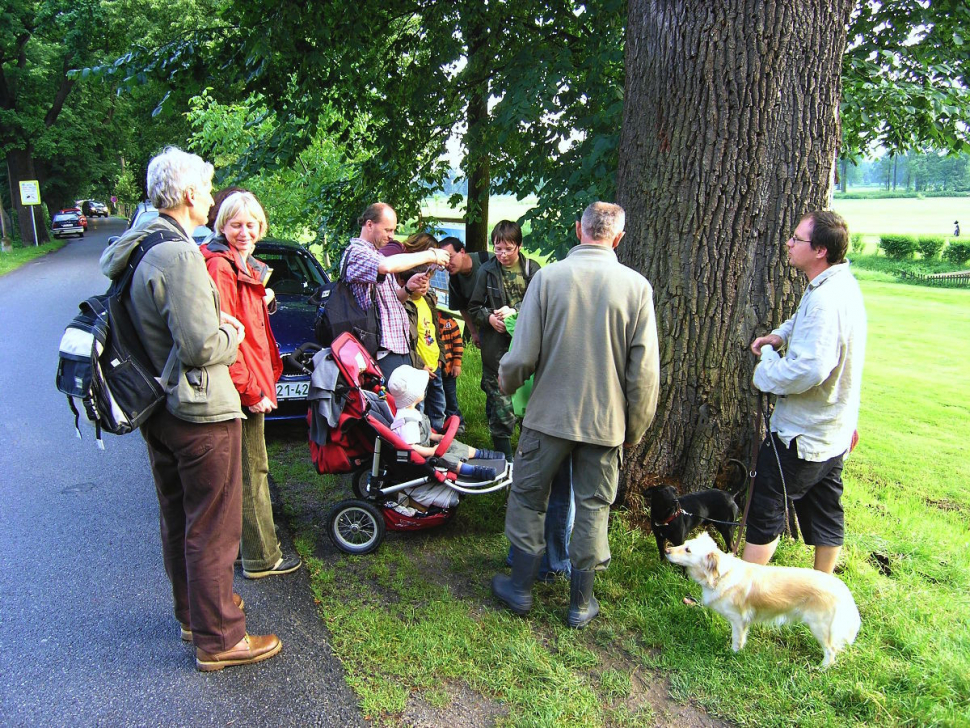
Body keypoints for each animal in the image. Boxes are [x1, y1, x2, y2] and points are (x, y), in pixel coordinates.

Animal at [660, 532, 860, 668]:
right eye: (685, 543)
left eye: (687, 550)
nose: (666, 549)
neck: (721, 575)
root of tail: (840, 587)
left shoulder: (739, 619)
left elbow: (737, 639)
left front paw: (732, 654)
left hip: (820, 626)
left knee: (831, 651)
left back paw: (821, 668)